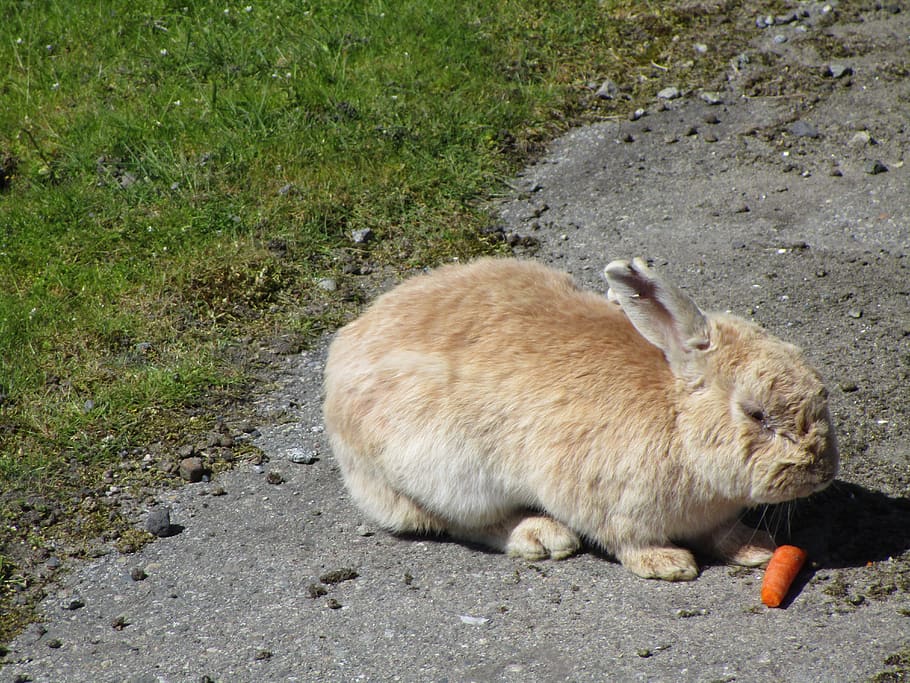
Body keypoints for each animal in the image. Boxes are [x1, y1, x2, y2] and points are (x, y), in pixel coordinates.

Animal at [322, 257, 839, 580]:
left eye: (822, 389)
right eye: (755, 413)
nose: (823, 471)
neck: (679, 418)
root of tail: (340, 361)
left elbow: (724, 535)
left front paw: (757, 549)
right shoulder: (610, 505)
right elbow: (628, 541)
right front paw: (669, 565)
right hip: (448, 475)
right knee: (461, 523)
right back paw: (542, 537)